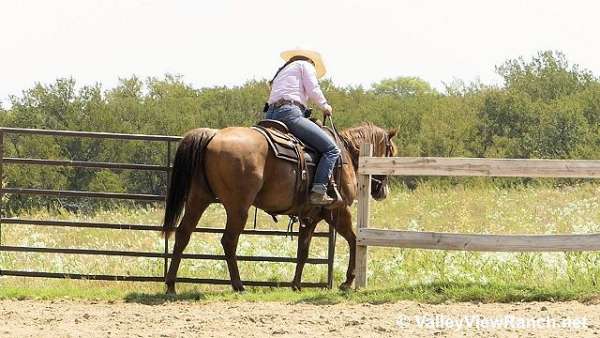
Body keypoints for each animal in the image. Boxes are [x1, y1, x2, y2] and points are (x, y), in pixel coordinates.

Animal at [162, 122, 396, 294]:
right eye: (391, 152)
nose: (382, 192)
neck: (344, 154)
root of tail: (214, 135)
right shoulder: (337, 212)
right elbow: (354, 240)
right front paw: (348, 281)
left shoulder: (310, 216)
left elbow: (303, 250)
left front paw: (296, 285)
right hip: (238, 207)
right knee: (228, 241)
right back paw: (238, 285)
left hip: (198, 198)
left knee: (183, 234)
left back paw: (171, 285)